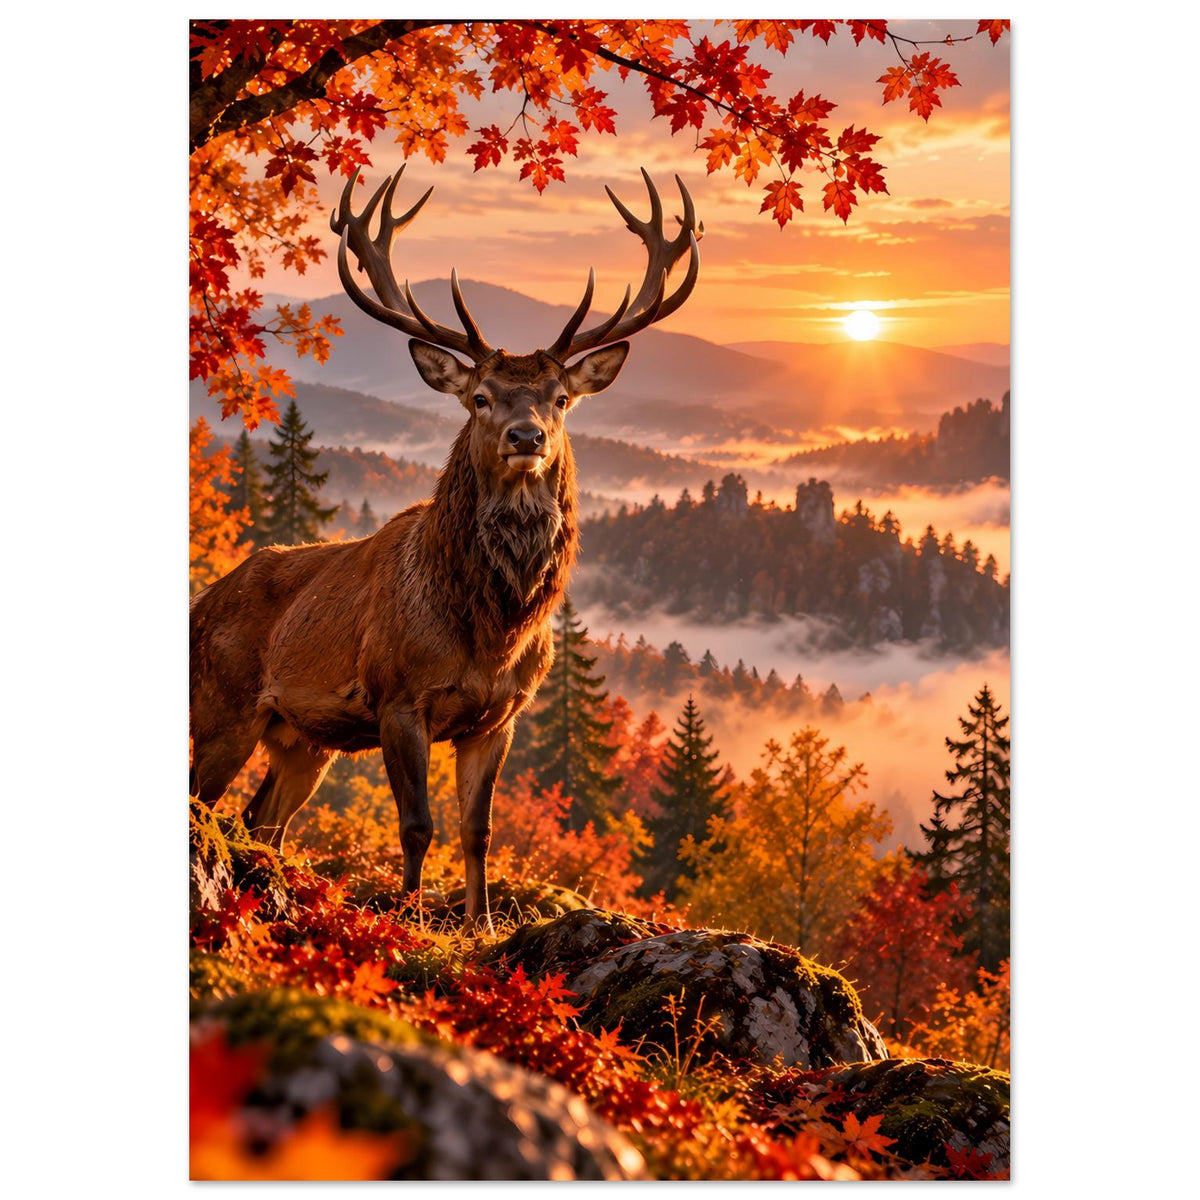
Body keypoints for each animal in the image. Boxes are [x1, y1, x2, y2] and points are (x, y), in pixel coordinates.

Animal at [189, 165, 701, 929]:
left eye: (559, 398)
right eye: (481, 397)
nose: (527, 436)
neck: (492, 632)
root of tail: (201, 602)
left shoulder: (499, 717)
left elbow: (477, 828)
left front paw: (481, 922)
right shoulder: (398, 697)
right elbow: (418, 823)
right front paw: (409, 919)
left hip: (301, 739)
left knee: (260, 818)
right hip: (223, 703)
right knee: (204, 797)